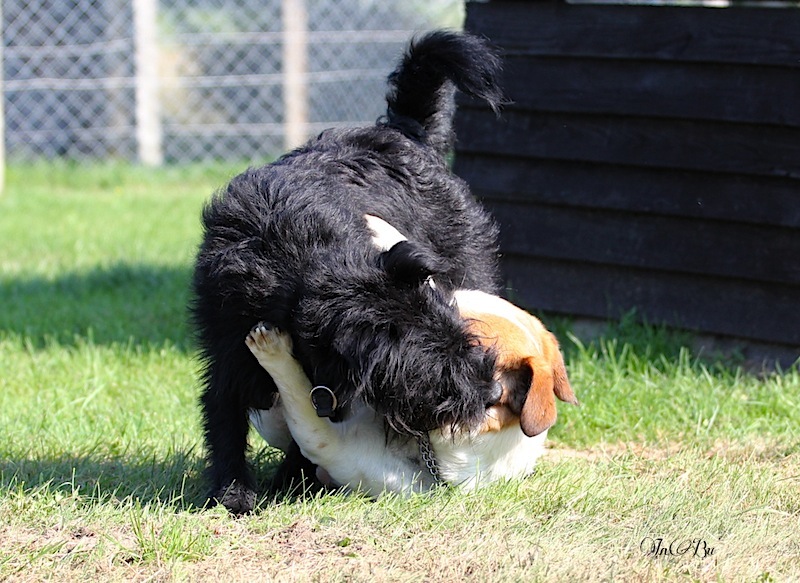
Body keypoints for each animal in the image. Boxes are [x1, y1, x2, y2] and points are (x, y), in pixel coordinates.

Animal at [193, 29, 504, 512]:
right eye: (428, 365)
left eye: (461, 335)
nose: (493, 394)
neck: (298, 269)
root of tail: (403, 129)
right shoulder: (228, 346)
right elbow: (224, 414)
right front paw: (233, 492)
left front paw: (291, 479)